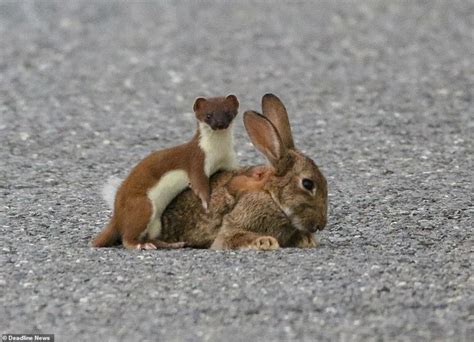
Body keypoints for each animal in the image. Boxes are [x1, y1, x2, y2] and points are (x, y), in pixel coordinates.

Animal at [93, 95, 241, 250]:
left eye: (228, 112)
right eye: (208, 115)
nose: (220, 124)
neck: (218, 153)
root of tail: (117, 214)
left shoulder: (229, 160)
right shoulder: (197, 161)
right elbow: (199, 185)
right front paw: (206, 204)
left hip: (157, 223)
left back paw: (172, 243)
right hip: (142, 205)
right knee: (127, 237)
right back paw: (143, 245)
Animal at [157, 95, 328, 250]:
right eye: (307, 184)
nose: (321, 225)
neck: (271, 195)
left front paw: (306, 240)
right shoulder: (231, 228)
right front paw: (265, 242)